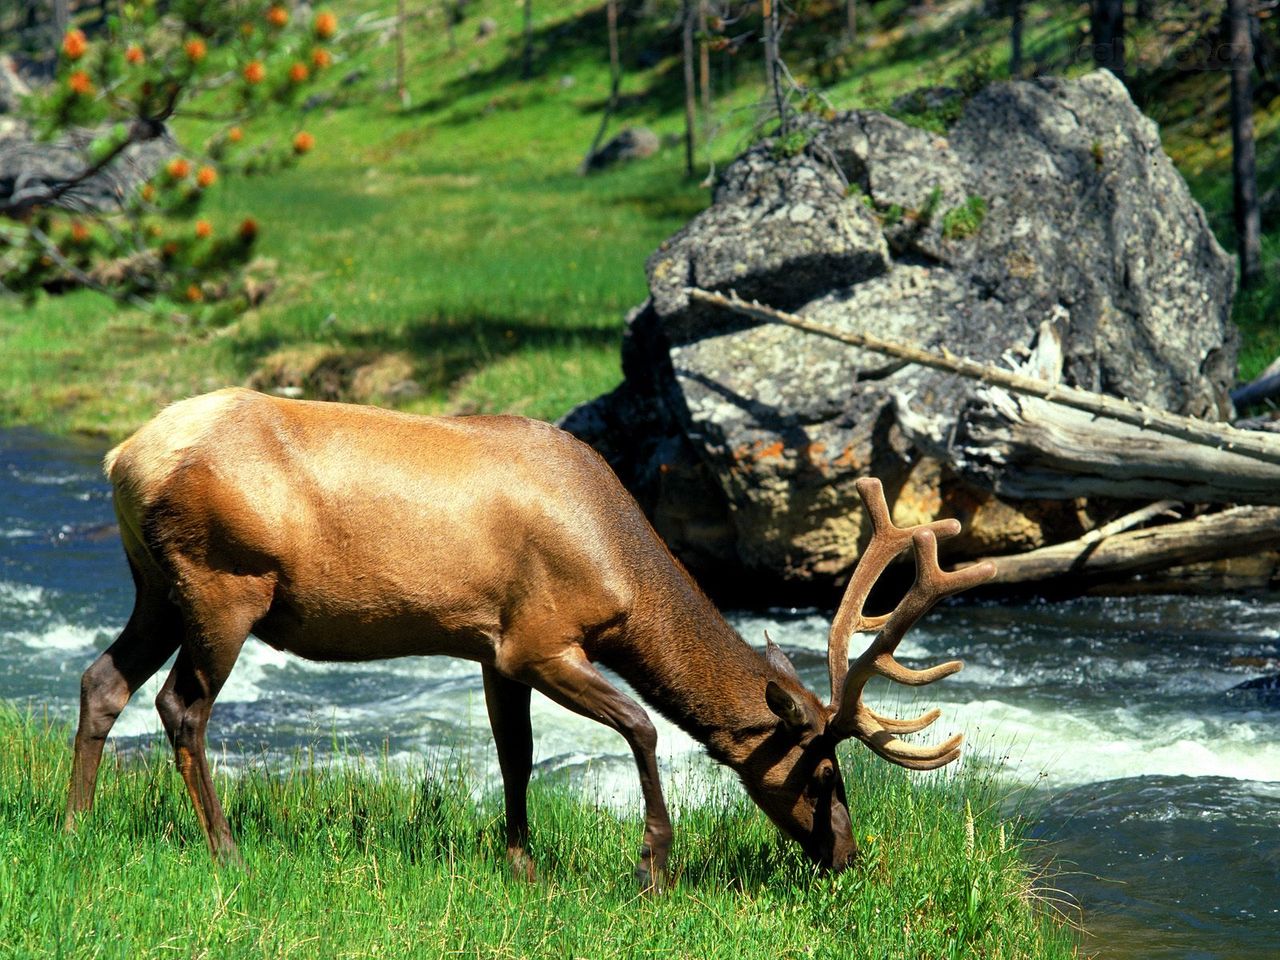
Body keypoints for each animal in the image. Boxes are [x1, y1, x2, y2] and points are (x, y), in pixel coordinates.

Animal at [64, 386, 993, 885]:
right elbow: (644, 727)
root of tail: (121, 457)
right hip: (222, 584)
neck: (621, 568)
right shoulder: (540, 638)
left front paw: (521, 864)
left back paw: (74, 823)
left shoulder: (490, 646)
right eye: (824, 771)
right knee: (182, 706)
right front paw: (654, 867)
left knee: (102, 680)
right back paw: (226, 849)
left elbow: (516, 755)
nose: (847, 855)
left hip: (157, 587)